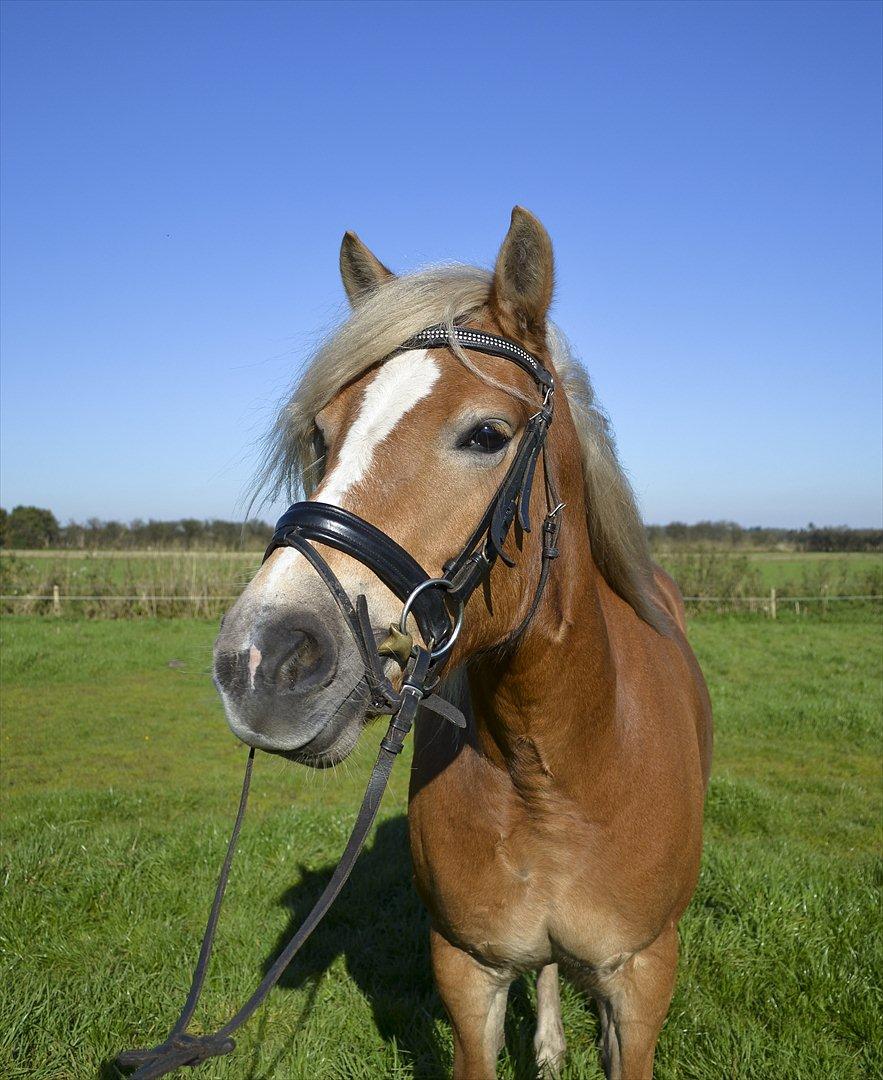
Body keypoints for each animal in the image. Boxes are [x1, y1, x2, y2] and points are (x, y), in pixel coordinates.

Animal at [214, 206, 716, 1075]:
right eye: (322, 434)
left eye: (485, 434)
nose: (261, 661)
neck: (554, 765)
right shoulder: (465, 970)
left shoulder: (642, 975)